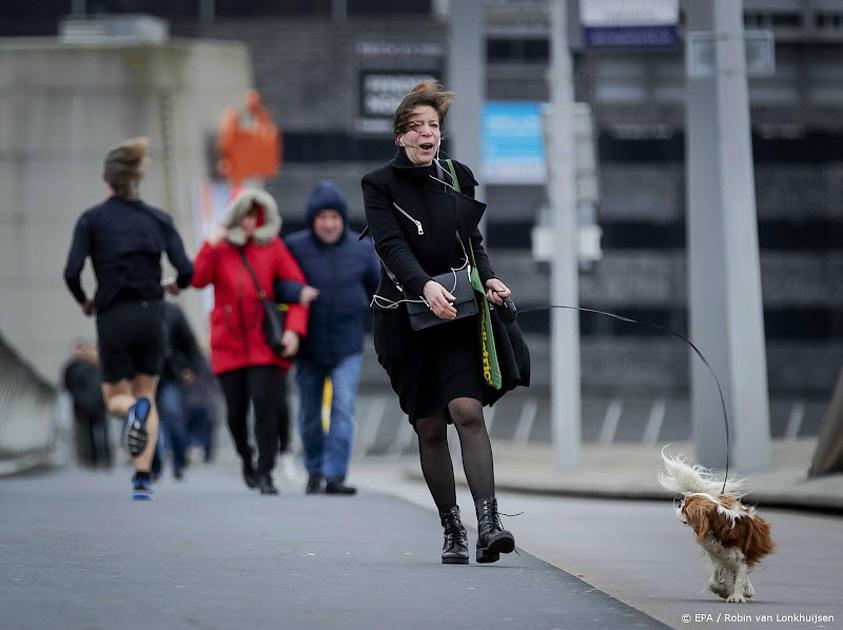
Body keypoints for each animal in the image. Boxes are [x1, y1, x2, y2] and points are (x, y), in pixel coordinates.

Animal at [664, 452, 776, 604]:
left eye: (684, 509)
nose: (679, 506)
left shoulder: (742, 557)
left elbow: (740, 577)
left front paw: (737, 596)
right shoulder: (717, 556)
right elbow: (715, 580)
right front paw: (724, 591)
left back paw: (747, 589)